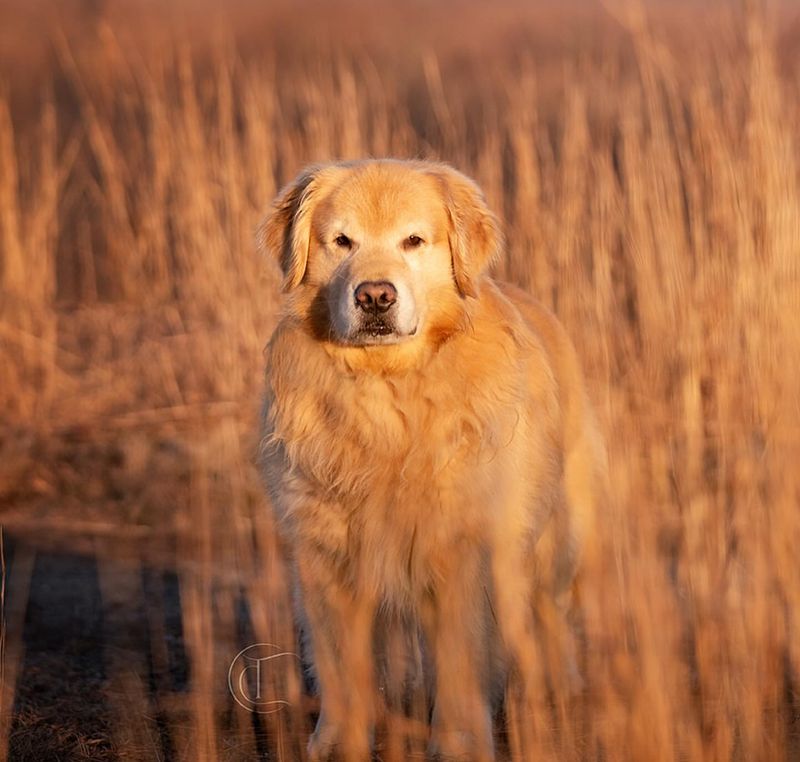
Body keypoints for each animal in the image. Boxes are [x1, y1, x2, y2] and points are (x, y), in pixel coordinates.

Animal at [260, 157, 604, 756]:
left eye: (413, 240)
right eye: (342, 241)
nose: (375, 296)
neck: (384, 389)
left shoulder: (462, 549)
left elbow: (462, 657)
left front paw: (461, 739)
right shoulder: (326, 554)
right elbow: (340, 665)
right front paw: (340, 740)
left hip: (556, 536)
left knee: (549, 612)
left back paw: (557, 687)